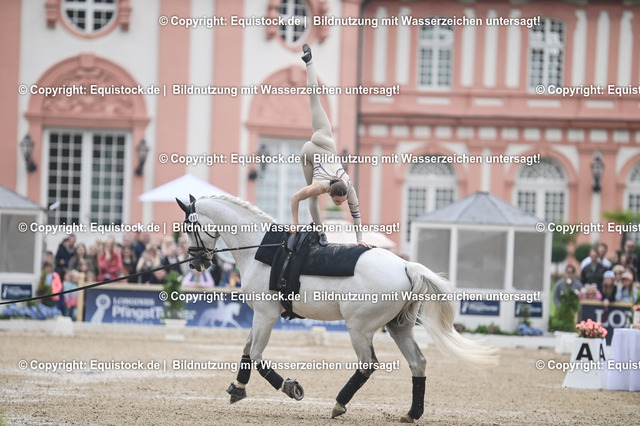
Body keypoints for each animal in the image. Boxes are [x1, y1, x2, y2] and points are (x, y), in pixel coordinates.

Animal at [176, 194, 497, 422]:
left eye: (188, 227)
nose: (196, 263)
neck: (260, 248)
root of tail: (407, 266)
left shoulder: (266, 314)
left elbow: (255, 354)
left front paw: (290, 387)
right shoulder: (261, 315)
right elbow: (246, 349)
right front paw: (238, 388)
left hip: (360, 328)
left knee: (367, 364)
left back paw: (339, 403)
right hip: (399, 327)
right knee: (418, 363)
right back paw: (411, 413)